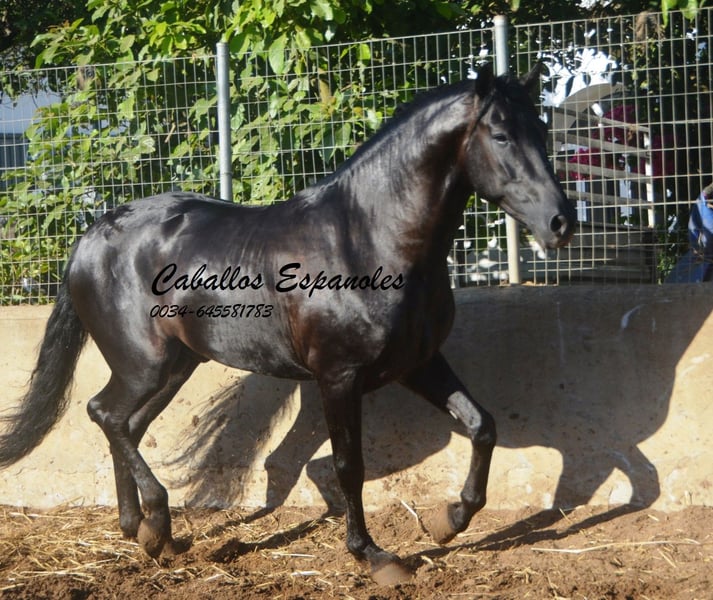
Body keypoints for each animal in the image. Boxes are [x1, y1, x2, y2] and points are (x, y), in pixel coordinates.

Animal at [0, 64, 575, 583]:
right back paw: (157, 522)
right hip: (144, 364)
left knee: (126, 425)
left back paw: (146, 534)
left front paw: (448, 521)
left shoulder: (419, 363)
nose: (561, 222)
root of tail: (91, 237)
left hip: (176, 365)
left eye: (542, 130)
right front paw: (375, 557)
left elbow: (482, 426)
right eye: (501, 135)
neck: (368, 239)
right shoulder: (338, 377)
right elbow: (348, 466)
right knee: (106, 415)